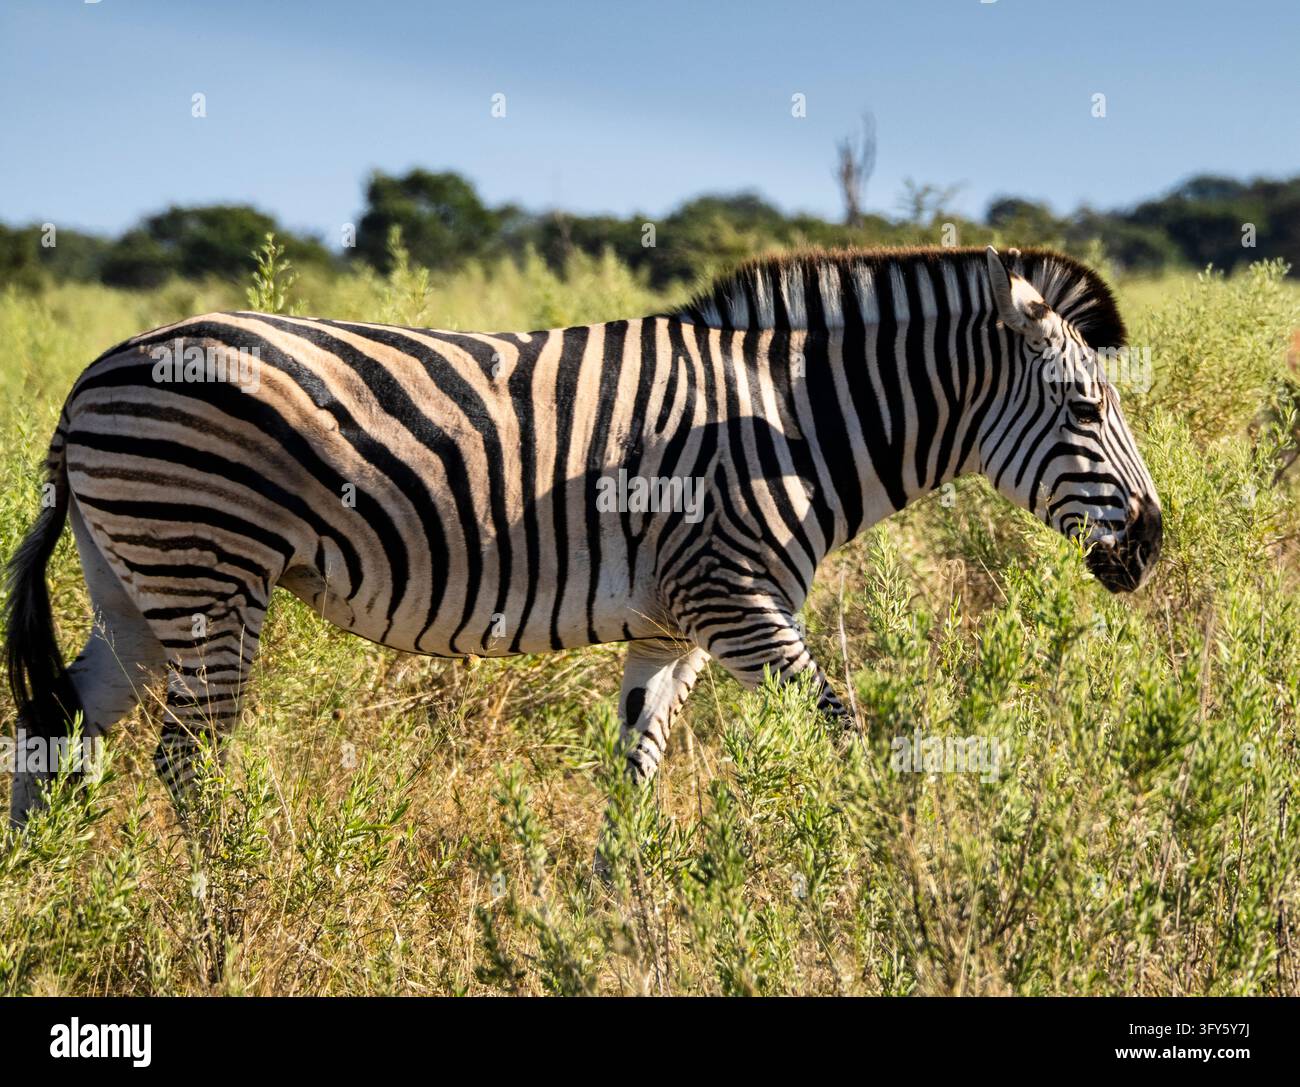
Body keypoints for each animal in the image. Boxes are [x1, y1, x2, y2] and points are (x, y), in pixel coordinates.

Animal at [4, 245, 1161, 831]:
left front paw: (623, 915)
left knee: (57, 731)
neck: (791, 424)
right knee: (185, 761)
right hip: (207, 571)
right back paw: (227, 902)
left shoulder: (673, 627)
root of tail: (95, 370)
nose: (1150, 545)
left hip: (133, 585)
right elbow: (846, 731)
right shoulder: (738, 603)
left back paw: (48, 901)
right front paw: (896, 864)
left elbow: (634, 773)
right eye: (1086, 406)